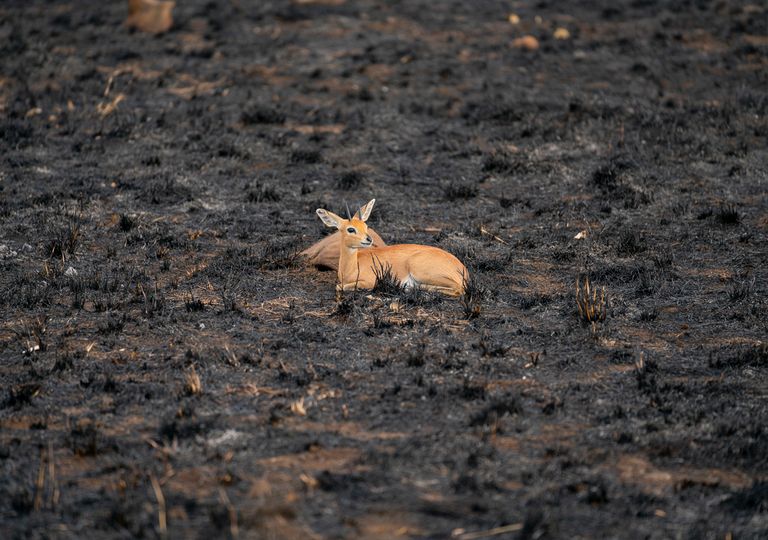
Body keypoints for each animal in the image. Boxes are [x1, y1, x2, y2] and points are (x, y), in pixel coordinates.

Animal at [314, 200, 468, 298]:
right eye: (351, 229)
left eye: (365, 226)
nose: (369, 239)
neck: (350, 268)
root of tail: (463, 269)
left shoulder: (369, 282)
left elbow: (339, 287)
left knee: (458, 289)